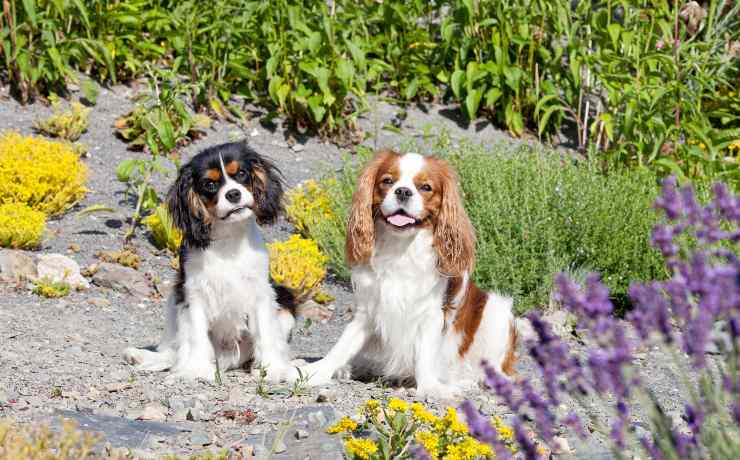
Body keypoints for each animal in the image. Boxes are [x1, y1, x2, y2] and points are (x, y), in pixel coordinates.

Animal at [300, 149, 516, 398]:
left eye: (426, 187)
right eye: (387, 181)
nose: (403, 191)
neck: (400, 248)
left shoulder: (431, 314)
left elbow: (425, 355)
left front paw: (431, 387)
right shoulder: (368, 310)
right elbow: (342, 346)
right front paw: (315, 372)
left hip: (498, 313)